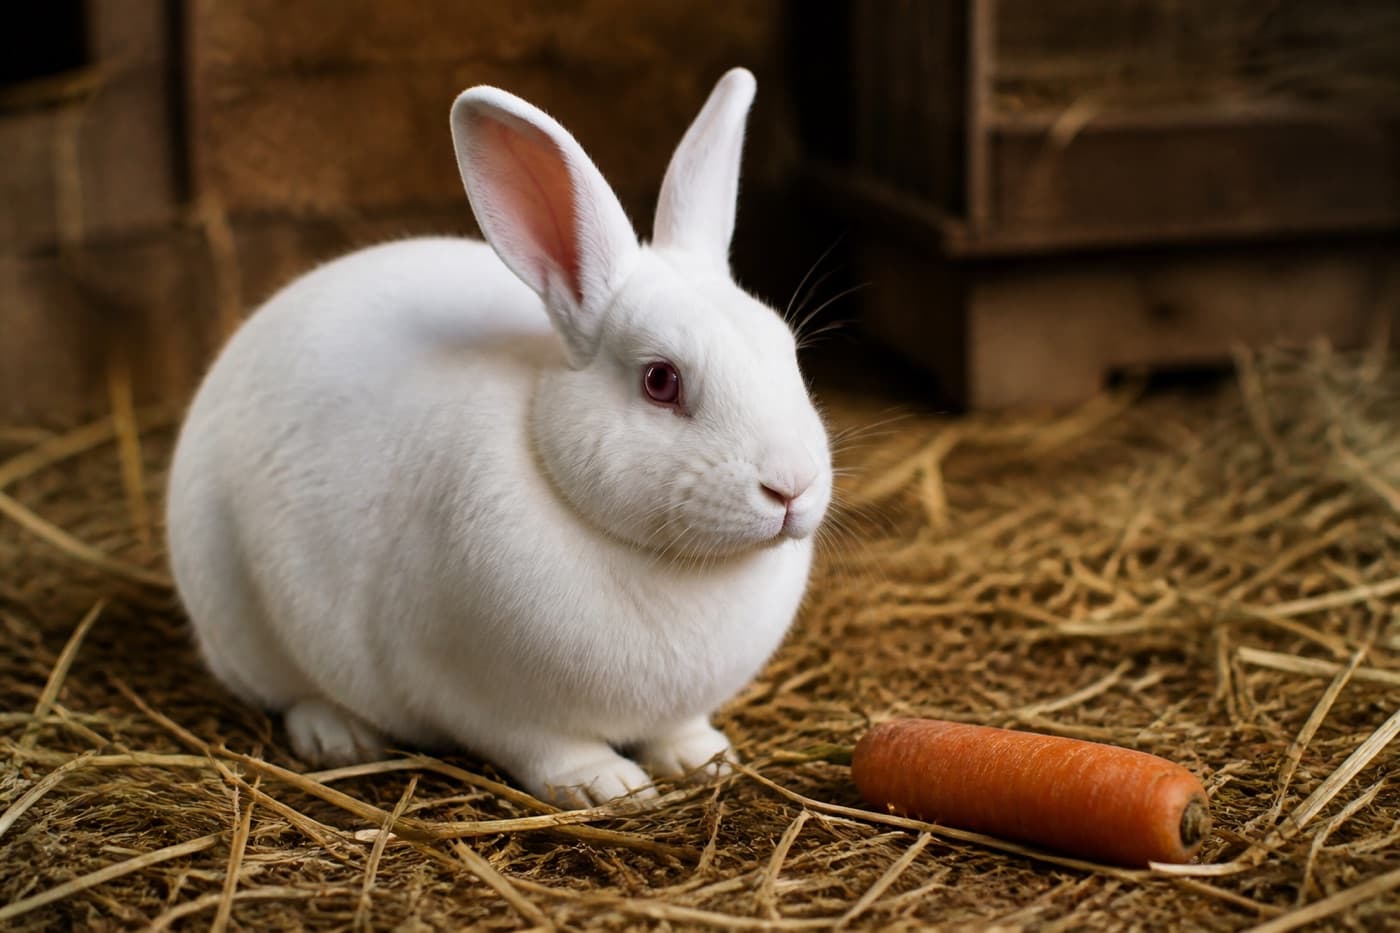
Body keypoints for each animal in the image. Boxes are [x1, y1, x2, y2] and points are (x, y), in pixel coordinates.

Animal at [165, 67, 832, 807]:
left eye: (787, 352)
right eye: (661, 381)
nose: (791, 486)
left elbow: (679, 729)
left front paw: (704, 759)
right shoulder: (479, 699)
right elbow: (546, 748)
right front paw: (607, 785)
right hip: (240, 617)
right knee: (286, 693)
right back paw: (337, 736)